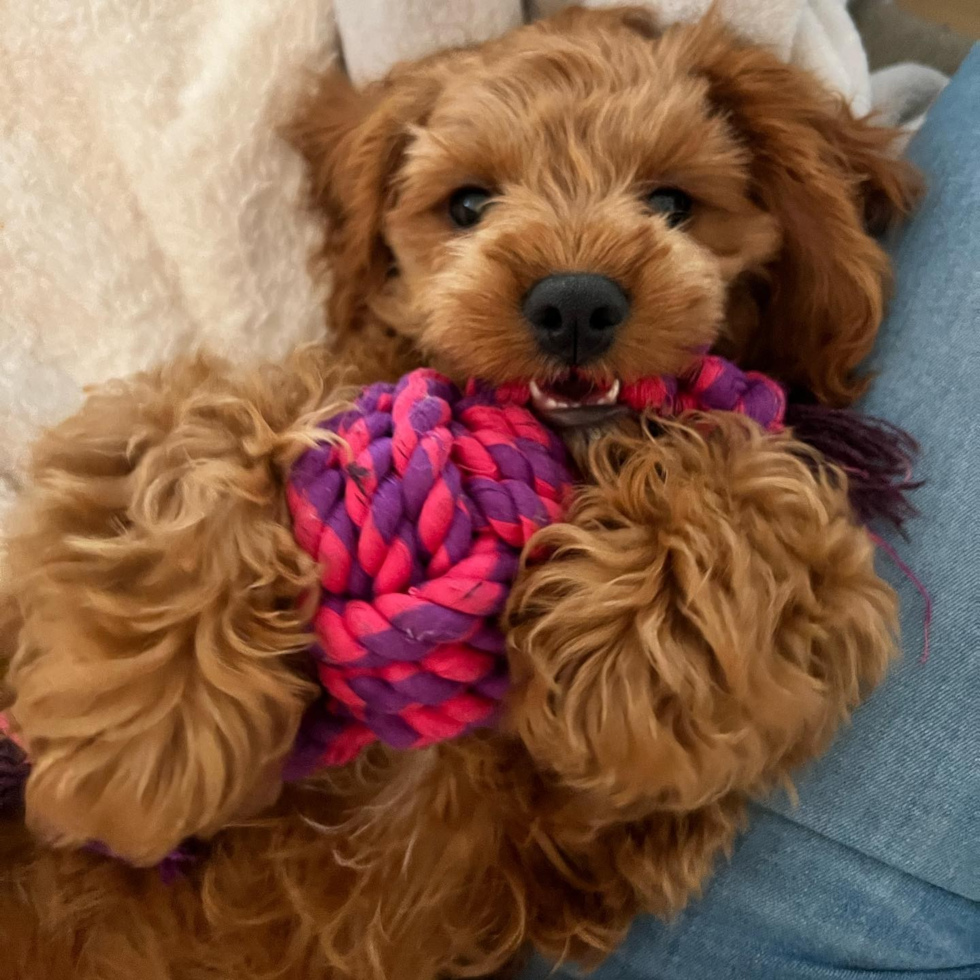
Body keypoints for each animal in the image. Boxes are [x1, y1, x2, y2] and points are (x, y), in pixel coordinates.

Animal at [0, 7, 920, 980]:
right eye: (470, 205)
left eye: (672, 203)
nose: (575, 301)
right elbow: (187, 430)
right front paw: (143, 737)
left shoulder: (580, 837)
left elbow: (762, 504)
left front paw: (633, 645)